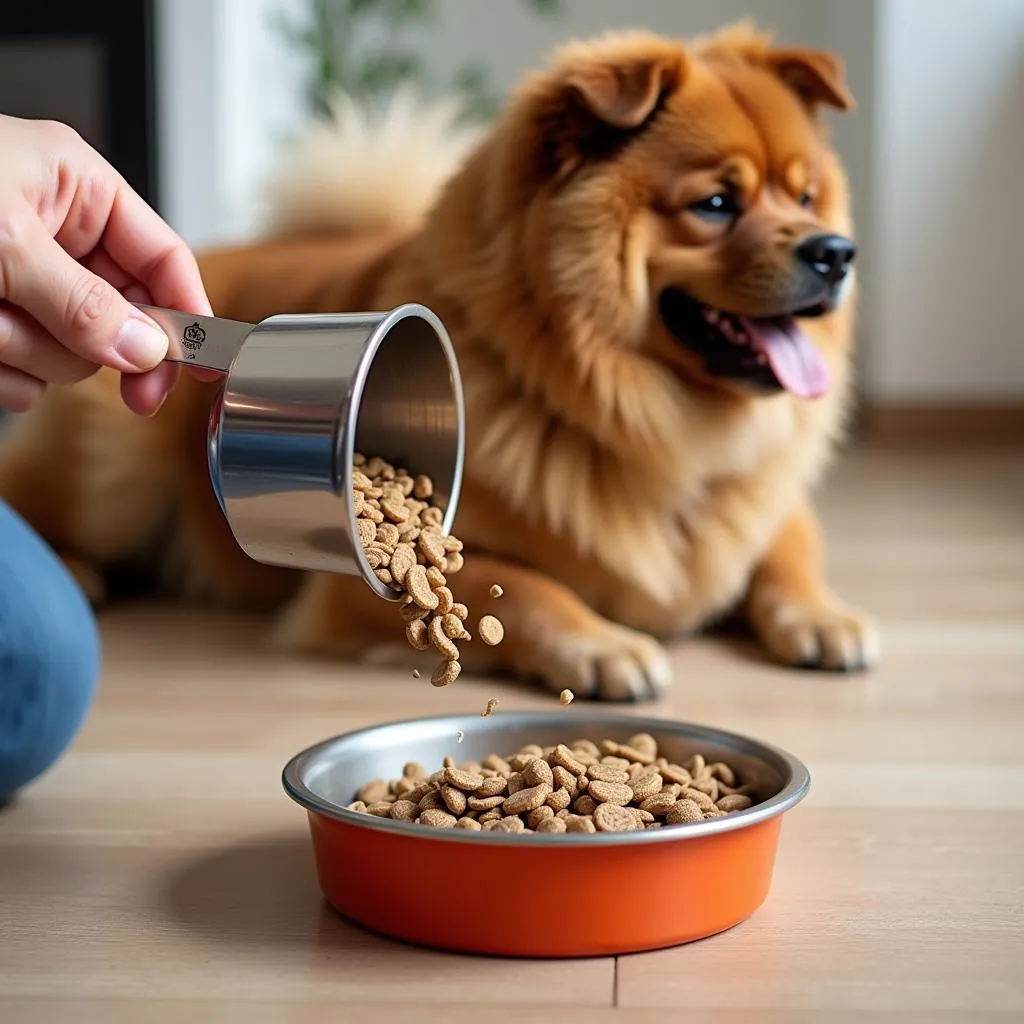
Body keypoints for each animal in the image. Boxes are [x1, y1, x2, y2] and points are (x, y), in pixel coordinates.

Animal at [0, 24, 880, 700]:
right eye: (717, 204)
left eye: (804, 196)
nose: (837, 252)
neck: (653, 428)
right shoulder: (345, 590)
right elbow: (527, 589)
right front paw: (605, 644)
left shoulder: (762, 506)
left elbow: (787, 553)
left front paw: (823, 616)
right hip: (117, 476)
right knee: (41, 502)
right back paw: (74, 573)